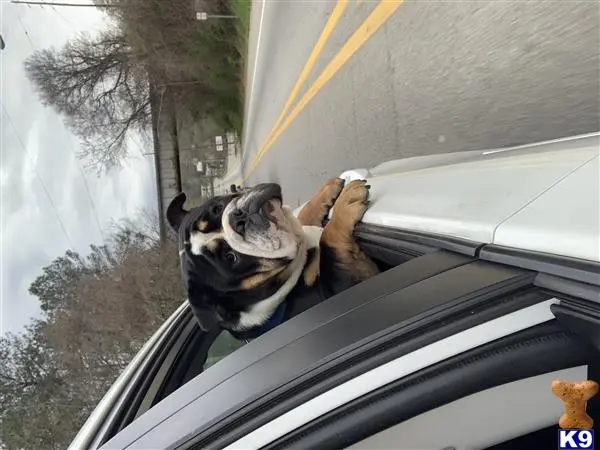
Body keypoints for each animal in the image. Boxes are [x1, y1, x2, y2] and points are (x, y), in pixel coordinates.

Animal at [166, 178, 378, 340]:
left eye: (217, 209)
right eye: (230, 257)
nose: (238, 219)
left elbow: (305, 214)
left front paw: (327, 189)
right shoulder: (342, 286)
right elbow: (327, 240)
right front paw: (347, 201)